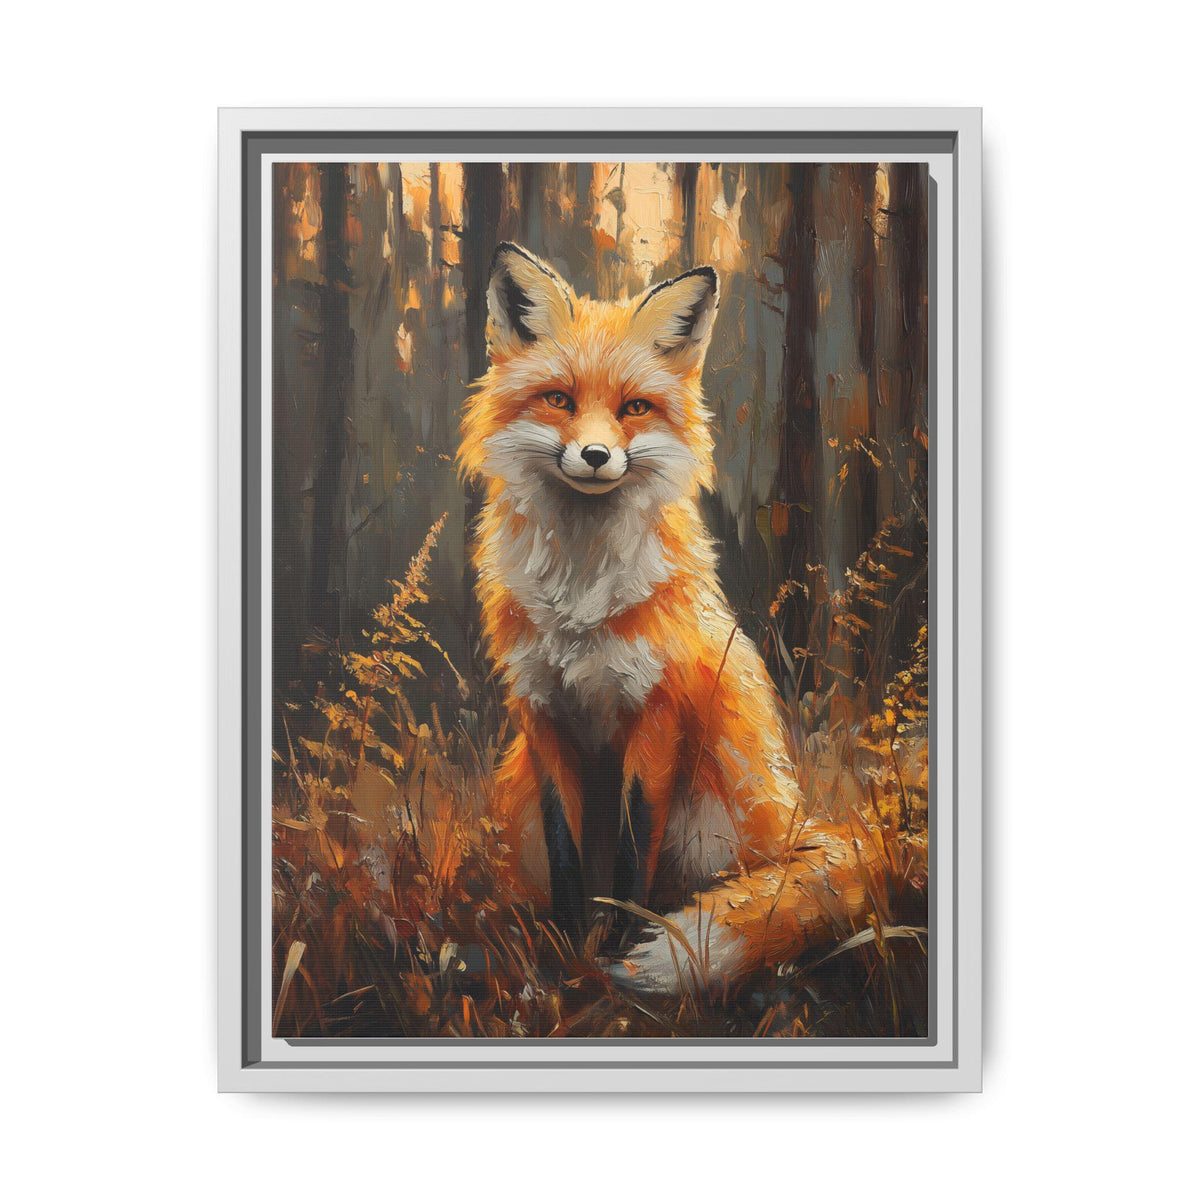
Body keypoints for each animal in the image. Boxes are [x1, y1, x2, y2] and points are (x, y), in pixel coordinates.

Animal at [458, 242, 897, 1000]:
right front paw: (569, 956)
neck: (581, 600)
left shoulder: (656, 710)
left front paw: (614, 951)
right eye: (559, 400)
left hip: (713, 822)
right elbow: (568, 854)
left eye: (634, 408)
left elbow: (634, 856)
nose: (596, 456)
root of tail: (796, 823)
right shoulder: (542, 714)